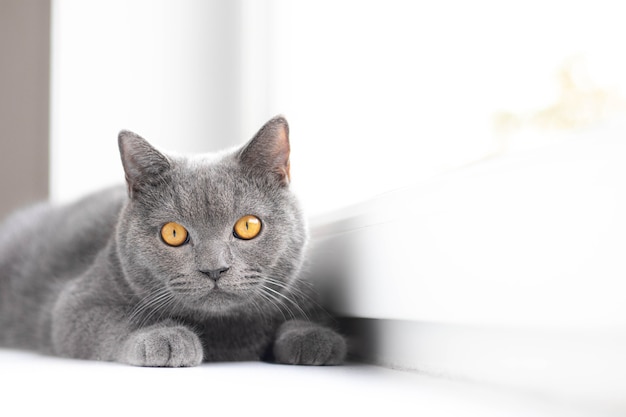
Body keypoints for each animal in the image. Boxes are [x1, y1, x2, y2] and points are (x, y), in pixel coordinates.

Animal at [0, 115, 346, 366]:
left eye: (248, 226)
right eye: (174, 233)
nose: (214, 269)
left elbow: (305, 316)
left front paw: (314, 338)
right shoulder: (75, 304)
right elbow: (116, 321)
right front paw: (165, 338)